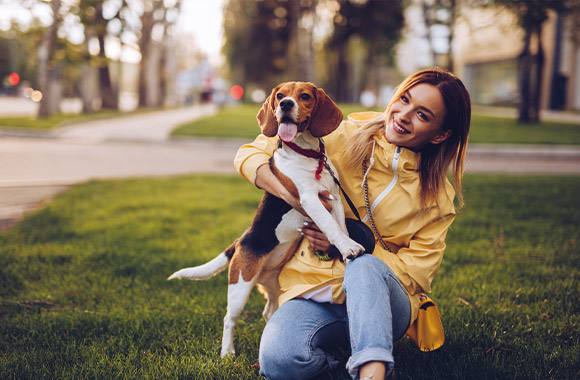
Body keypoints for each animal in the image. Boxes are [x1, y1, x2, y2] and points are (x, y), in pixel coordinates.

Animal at [168, 81, 362, 358]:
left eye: (304, 96)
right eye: (280, 95)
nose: (285, 104)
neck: (307, 156)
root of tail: (240, 241)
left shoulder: (333, 198)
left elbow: (340, 226)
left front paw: (346, 248)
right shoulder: (310, 200)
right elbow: (330, 226)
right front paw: (348, 248)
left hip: (273, 286)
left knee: (268, 310)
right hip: (240, 285)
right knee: (229, 319)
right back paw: (227, 353)